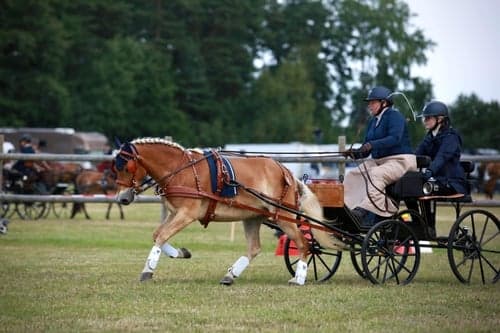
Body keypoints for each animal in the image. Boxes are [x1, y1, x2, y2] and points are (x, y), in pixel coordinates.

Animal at [112, 137, 342, 286]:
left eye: (126, 167)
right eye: (115, 167)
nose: (122, 198)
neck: (181, 170)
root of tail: (286, 171)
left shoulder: (187, 214)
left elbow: (162, 236)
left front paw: (148, 270)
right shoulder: (173, 213)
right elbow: (158, 234)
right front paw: (181, 253)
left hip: (284, 217)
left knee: (305, 244)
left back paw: (299, 278)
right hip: (253, 217)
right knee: (254, 248)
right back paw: (230, 275)